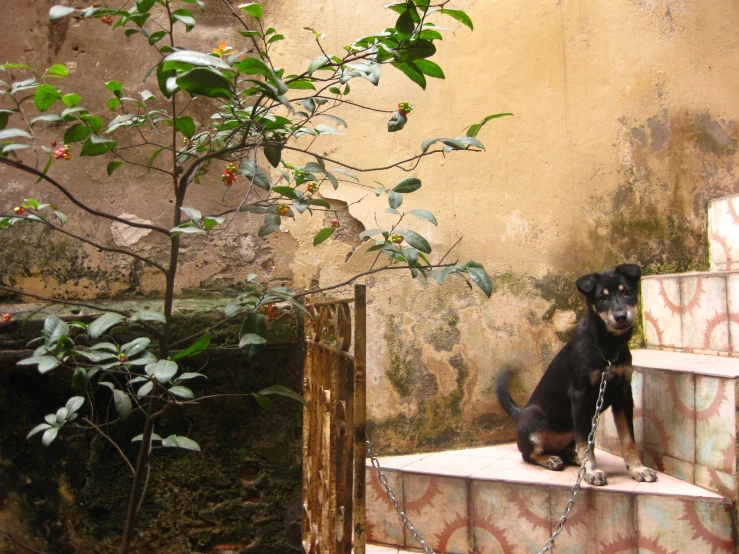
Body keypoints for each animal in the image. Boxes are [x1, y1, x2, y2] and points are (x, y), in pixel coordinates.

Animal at [498, 264, 660, 484]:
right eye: (602, 298)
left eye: (627, 292)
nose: (620, 316)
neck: (608, 346)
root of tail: (521, 412)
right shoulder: (580, 395)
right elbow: (585, 440)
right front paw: (591, 472)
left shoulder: (623, 394)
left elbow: (628, 439)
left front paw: (638, 469)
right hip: (533, 420)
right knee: (528, 454)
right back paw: (550, 459)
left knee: (569, 446)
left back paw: (572, 457)